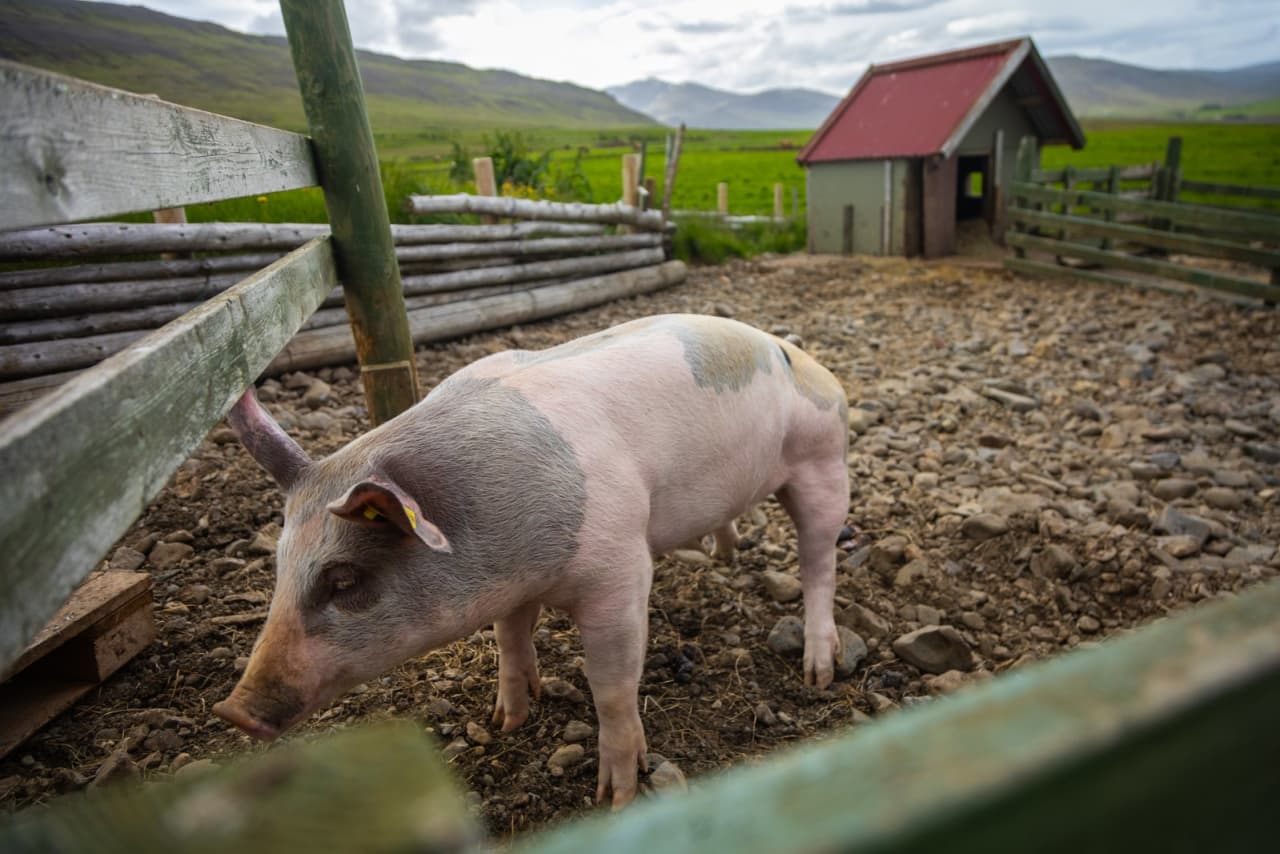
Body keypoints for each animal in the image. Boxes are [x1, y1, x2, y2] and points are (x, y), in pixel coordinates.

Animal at [213, 313, 849, 807]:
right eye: (278, 567)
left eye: (344, 578)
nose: (233, 711)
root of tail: (794, 352)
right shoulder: (511, 587)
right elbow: (510, 641)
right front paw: (508, 720)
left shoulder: (620, 573)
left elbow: (610, 686)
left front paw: (616, 795)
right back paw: (721, 554)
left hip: (825, 460)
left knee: (819, 563)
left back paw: (819, 670)